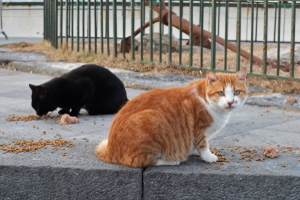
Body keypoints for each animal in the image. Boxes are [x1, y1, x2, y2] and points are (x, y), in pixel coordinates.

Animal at [96, 68, 248, 168]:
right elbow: (203, 145)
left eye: (236, 92)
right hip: (151, 120)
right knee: (141, 161)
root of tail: (110, 151)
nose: (230, 102)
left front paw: (193, 151)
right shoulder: (199, 129)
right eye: (221, 93)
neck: (206, 100)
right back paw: (172, 161)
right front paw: (208, 156)